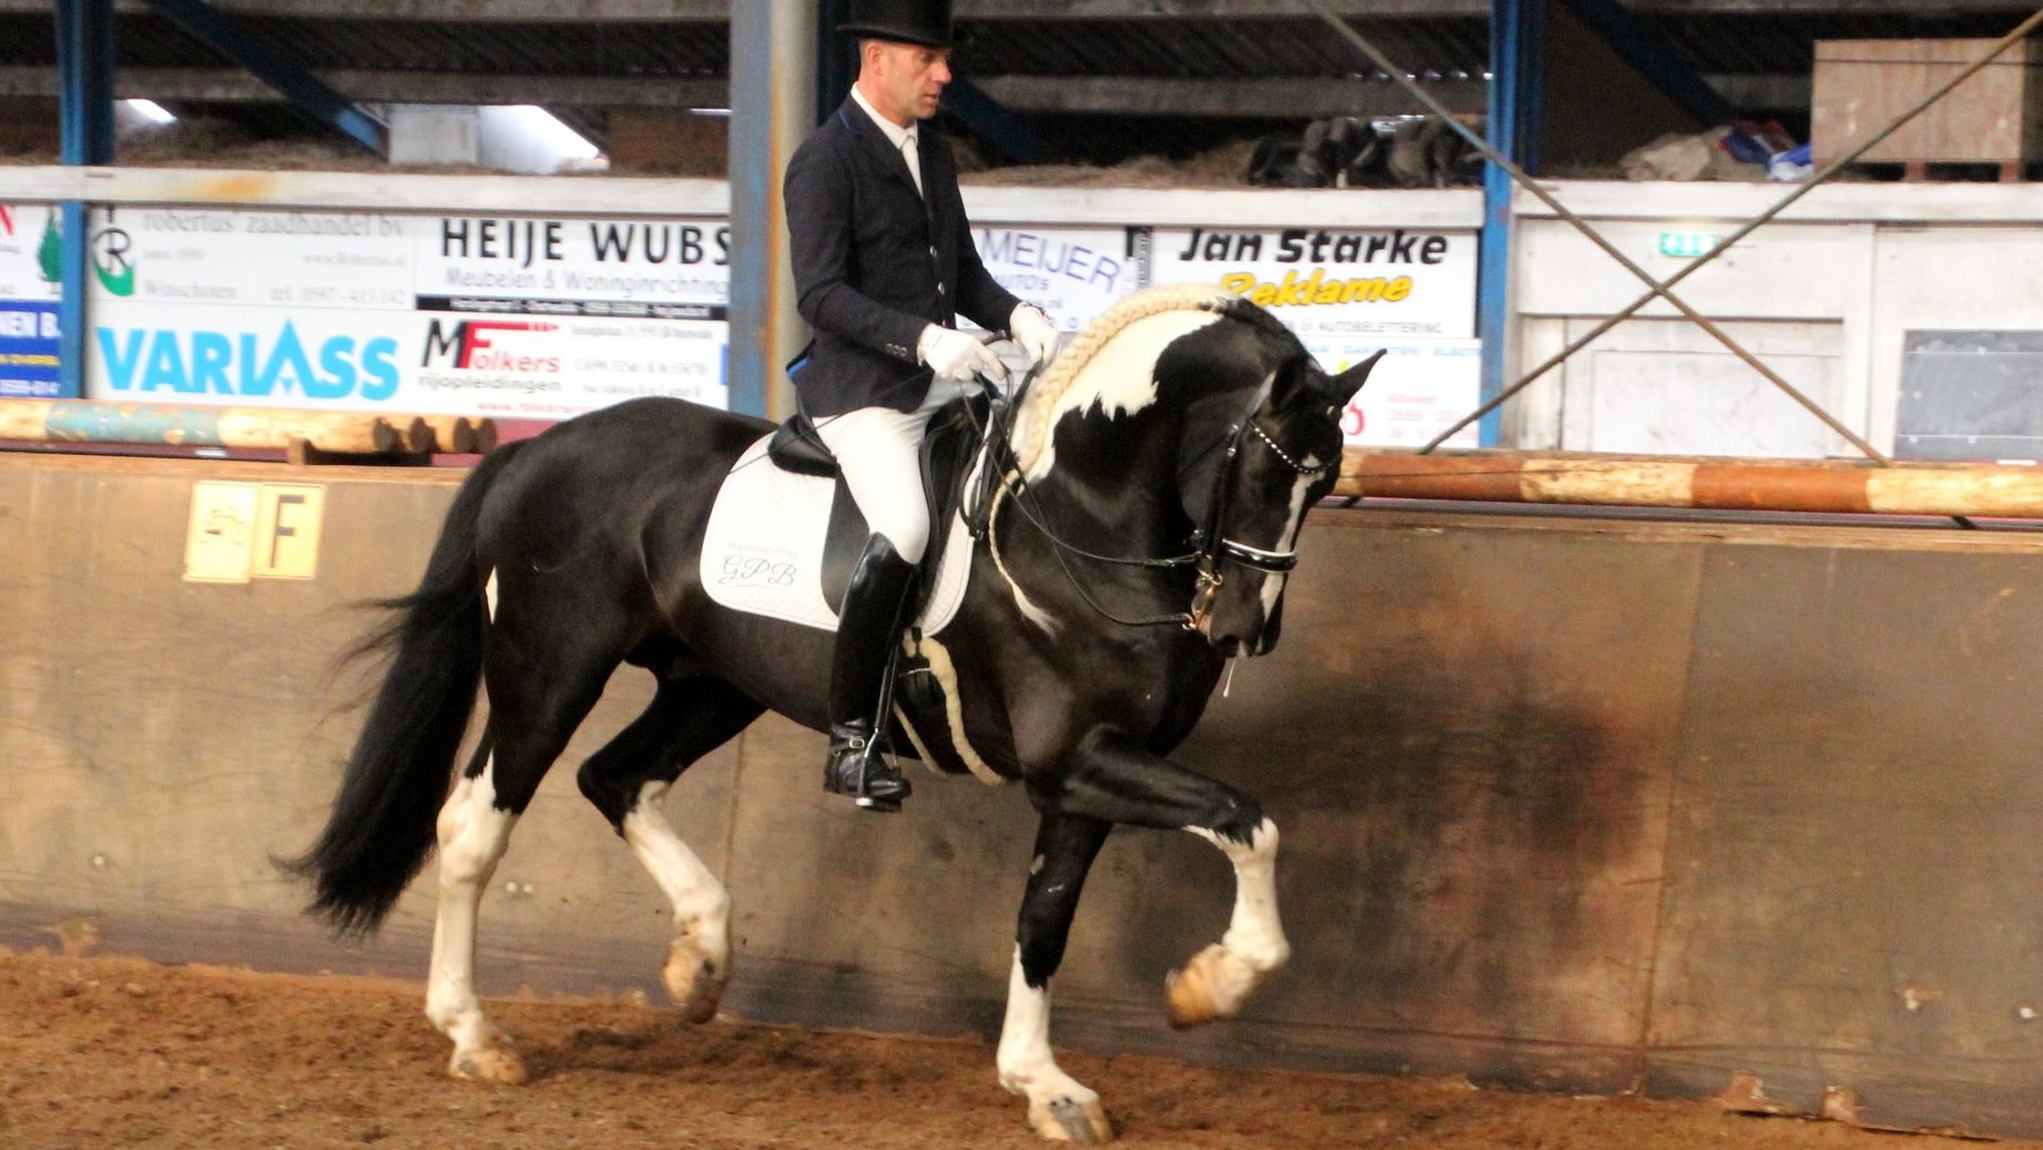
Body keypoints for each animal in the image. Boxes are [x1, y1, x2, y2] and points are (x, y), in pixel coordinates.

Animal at [283, 285, 1372, 1143]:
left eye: (1325, 481)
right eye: (1262, 466)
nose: (1242, 628)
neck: (1080, 518)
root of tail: (538, 446)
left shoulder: (1088, 772)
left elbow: (1046, 919)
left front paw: (1046, 1086)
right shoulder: (1075, 759)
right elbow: (1248, 821)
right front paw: (1212, 984)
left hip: (712, 684)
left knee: (617, 777)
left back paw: (701, 961)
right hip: (547, 672)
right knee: (476, 825)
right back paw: (476, 1036)